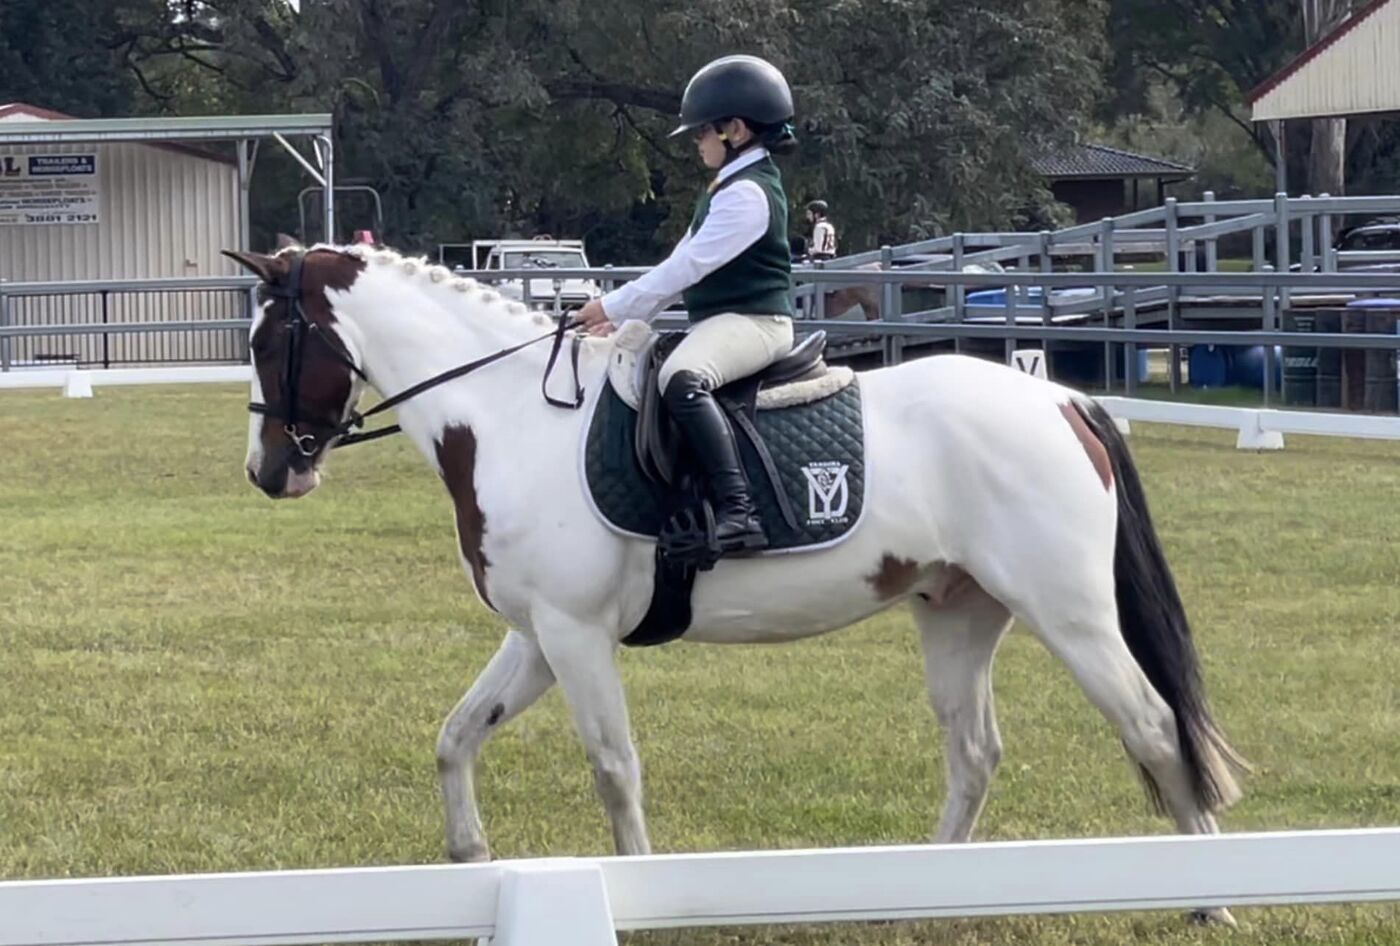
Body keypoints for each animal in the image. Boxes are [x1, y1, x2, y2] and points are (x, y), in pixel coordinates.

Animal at [225, 242, 1248, 925]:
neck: (511, 417)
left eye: (275, 339)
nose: (269, 472)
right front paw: (468, 861)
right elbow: (454, 738)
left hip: (1069, 614)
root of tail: (1062, 399)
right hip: (959, 613)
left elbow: (614, 770)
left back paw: (1209, 903)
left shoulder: (575, 636)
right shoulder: (538, 637)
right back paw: (919, 898)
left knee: (1151, 727)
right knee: (975, 752)